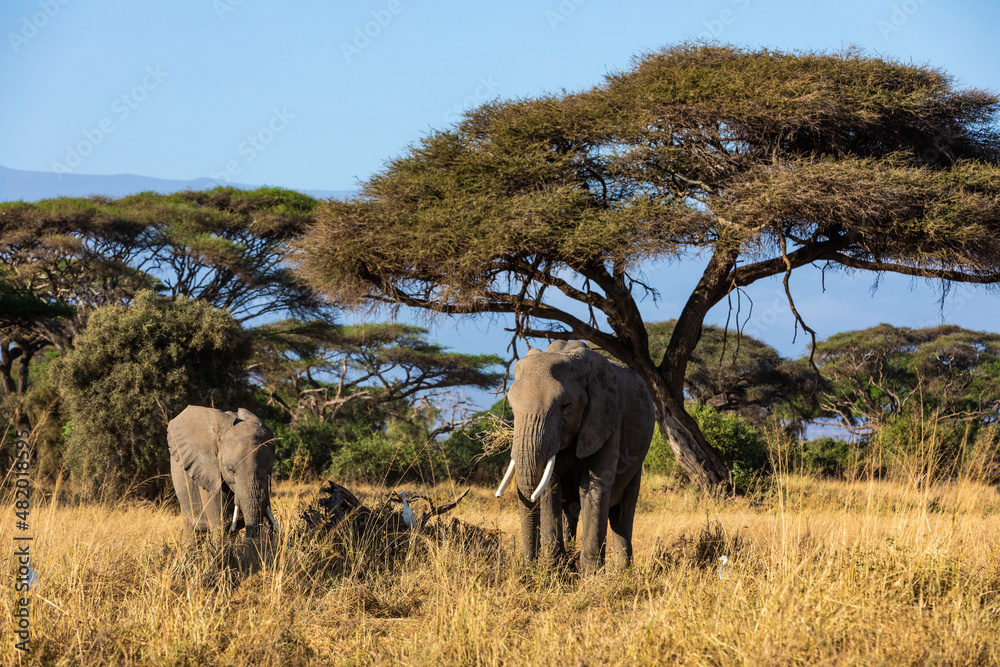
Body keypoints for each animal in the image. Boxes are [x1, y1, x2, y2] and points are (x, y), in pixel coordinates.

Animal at [496, 341, 655, 574]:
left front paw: (590, 576)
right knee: (570, 511)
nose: (528, 565)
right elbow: (550, 489)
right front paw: (554, 571)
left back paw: (622, 573)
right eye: (511, 407)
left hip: (636, 462)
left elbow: (594, 488)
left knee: (621, 515)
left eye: (566, 406)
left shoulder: (607, 418)